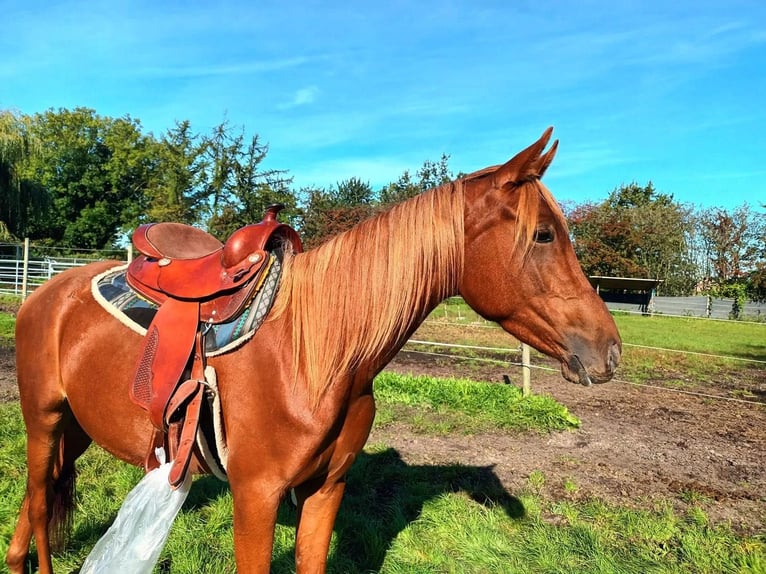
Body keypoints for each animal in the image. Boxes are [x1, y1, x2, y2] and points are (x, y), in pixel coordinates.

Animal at [6, 127, 621, 574]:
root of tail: (46, 293)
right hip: (42, 419)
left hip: (78, 427)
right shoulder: (256, 496)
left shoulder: (326, 490)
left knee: (36, 504)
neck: (316, 357)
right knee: (37, 502)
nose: (609, 351)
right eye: (543, 234)